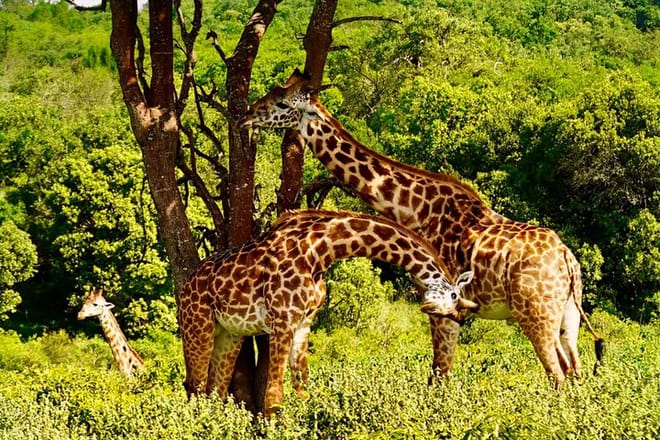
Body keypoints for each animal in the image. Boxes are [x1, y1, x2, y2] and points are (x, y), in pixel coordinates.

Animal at [179, 209, 477, 417]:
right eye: (453, 299)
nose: (441, 375)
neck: (321, 251)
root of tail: (184, 287)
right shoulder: (283, 319)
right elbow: (274, 395)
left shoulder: (303, 322)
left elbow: (302, 389)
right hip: (197, 326)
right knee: (193, 385)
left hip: (230, 333)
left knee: (214, 390)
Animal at [239, 69, 605, 385]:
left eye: (282, 103)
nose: (247, 114)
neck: (415, 210)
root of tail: (567, 261)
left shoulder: (442, 305)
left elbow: (439, 373)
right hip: (568, 315)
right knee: (574, 371)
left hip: (536, 315)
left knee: (557, 375)